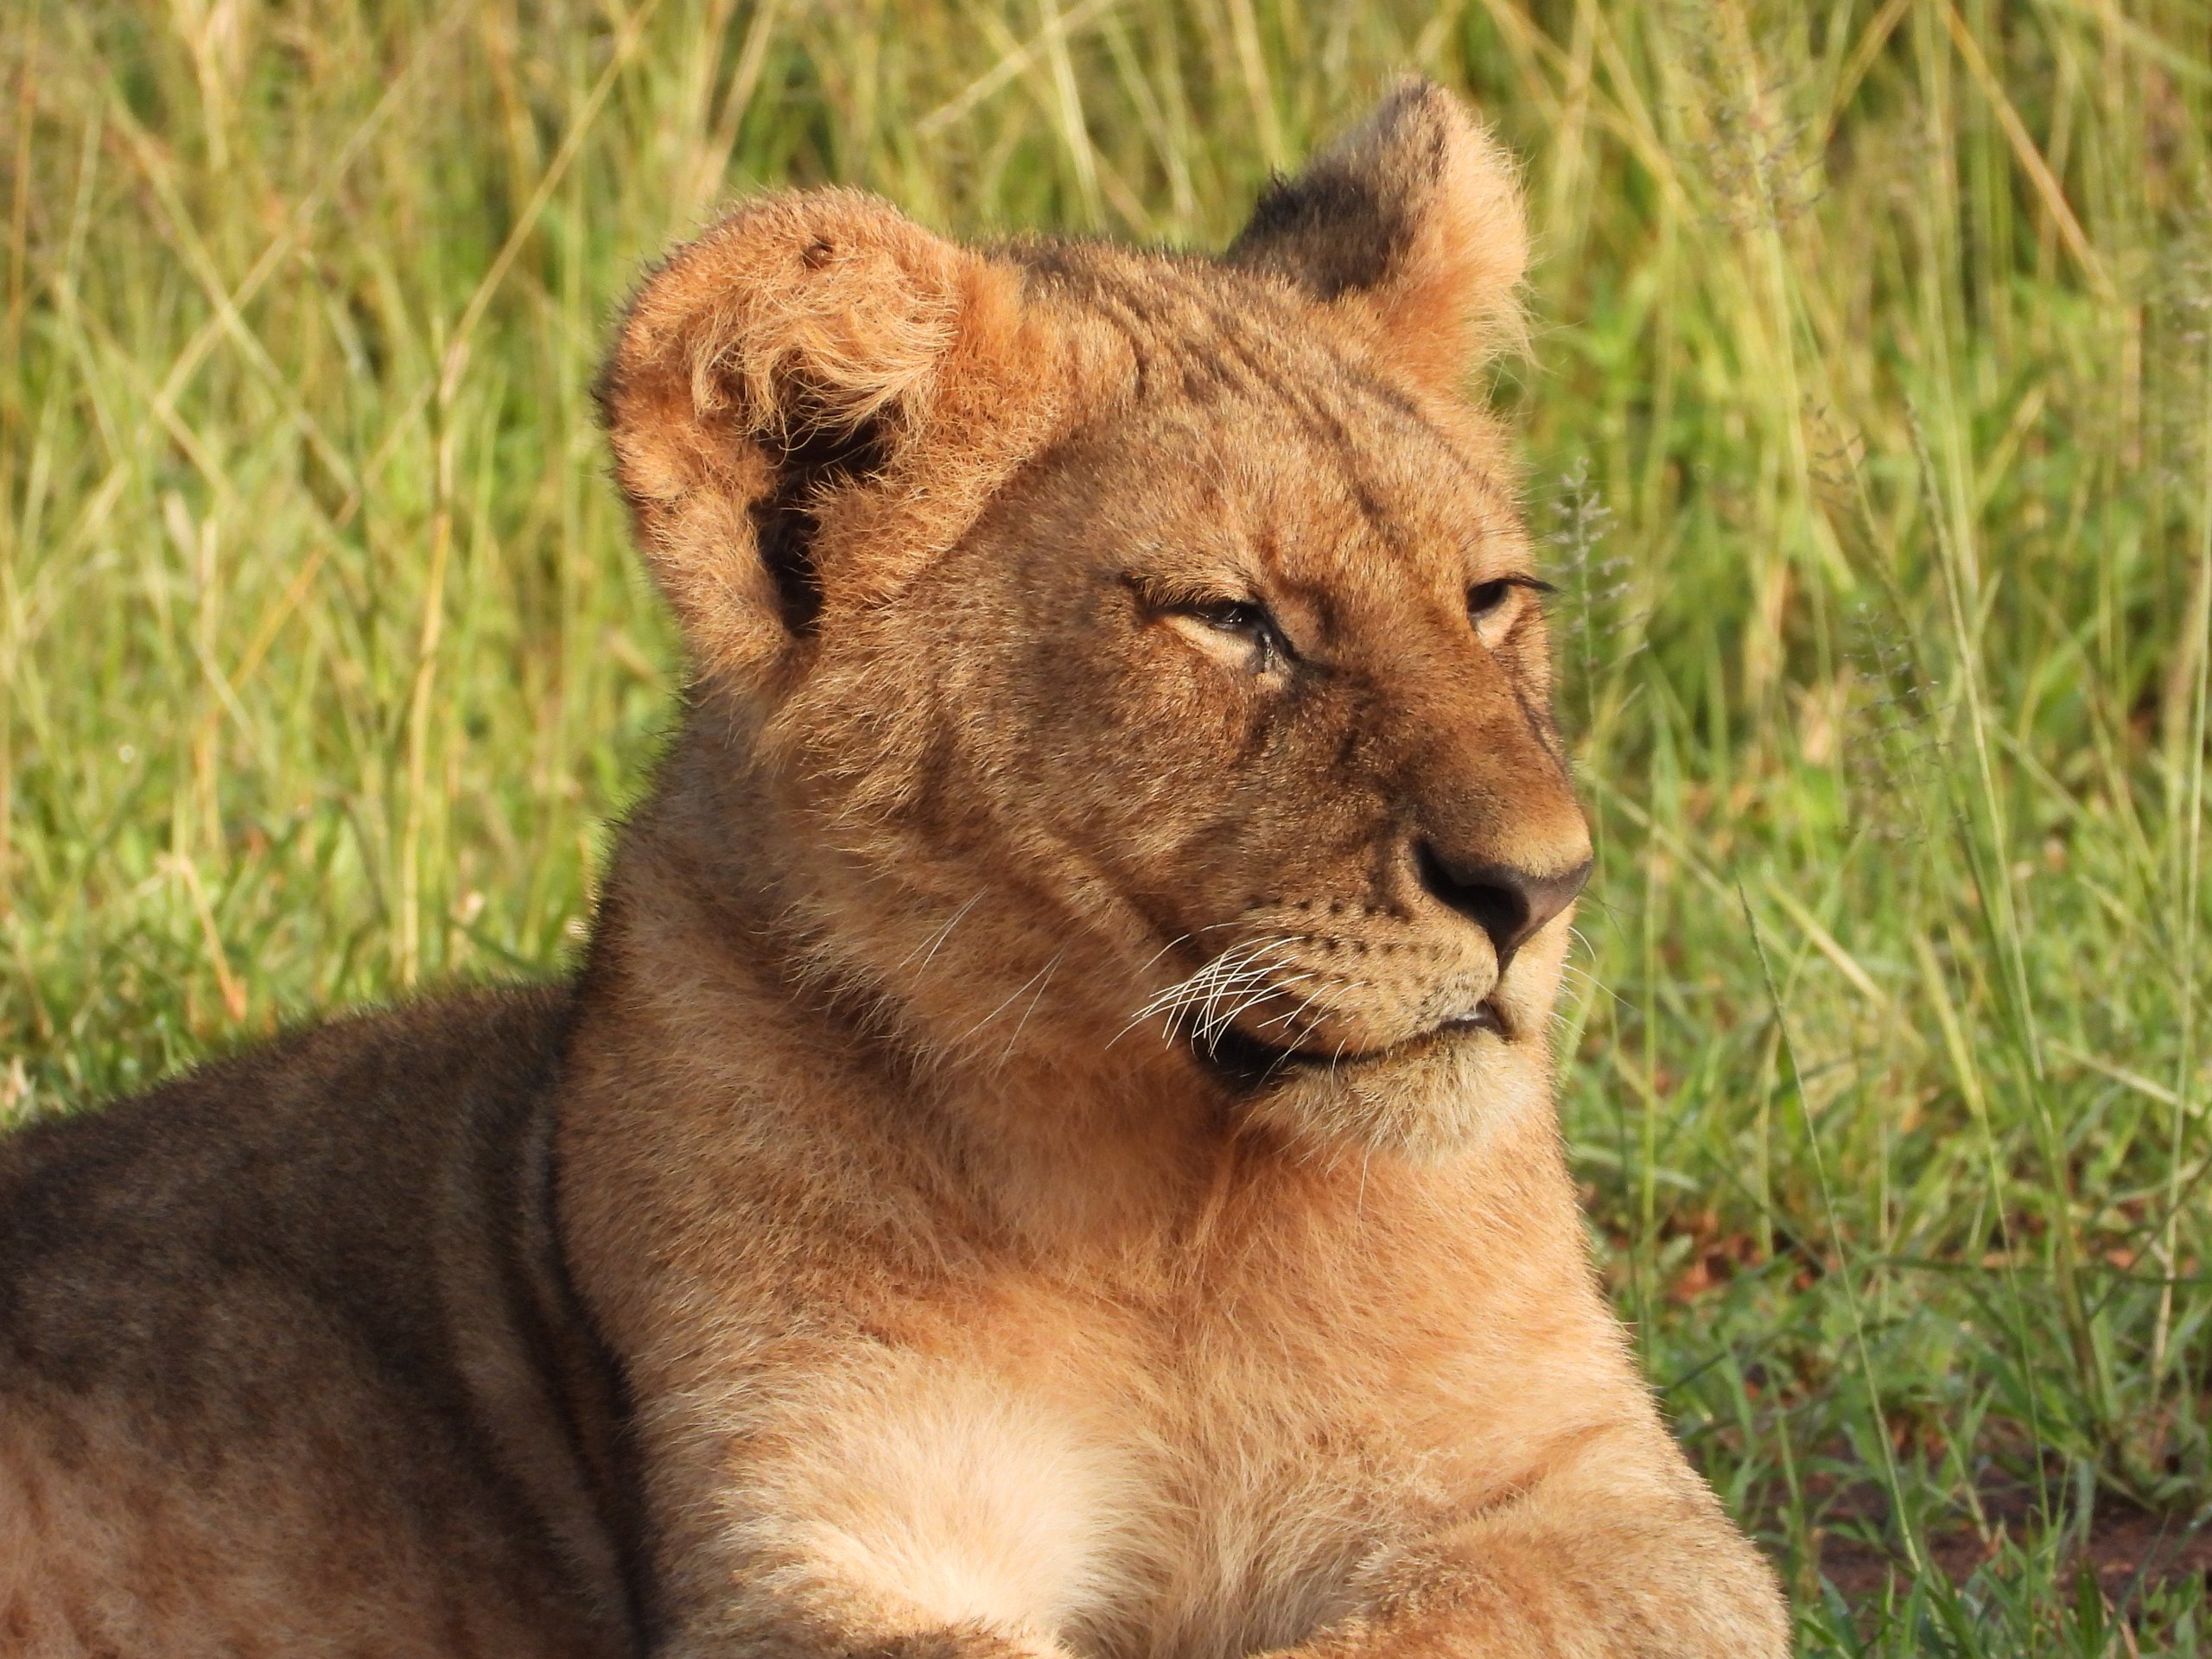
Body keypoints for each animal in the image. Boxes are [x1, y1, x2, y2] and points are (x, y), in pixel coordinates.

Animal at [0, 80, 1788, 1658]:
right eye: (1232, 620)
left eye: (1491, 599)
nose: (1541, 891)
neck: (1172, 1215)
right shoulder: (808, 1534)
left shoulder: (1598, 1505)